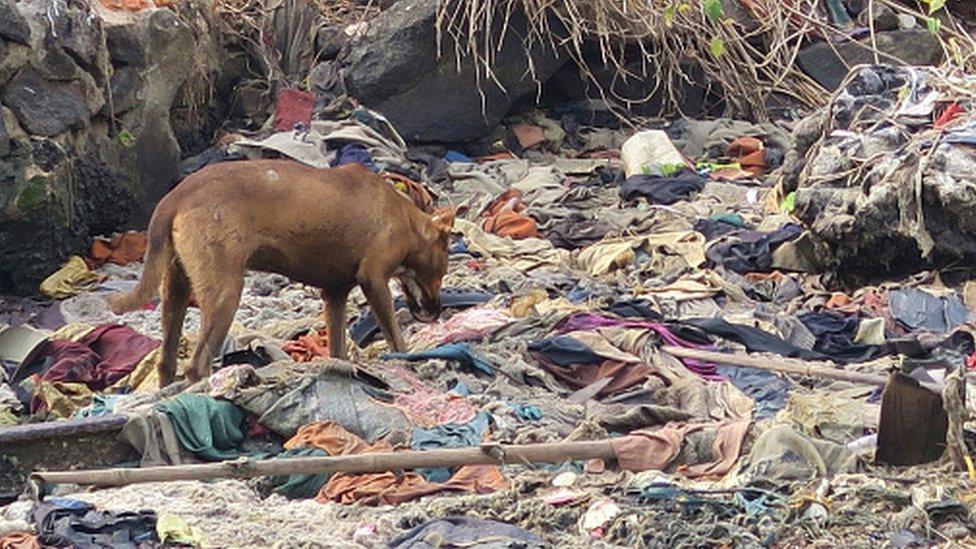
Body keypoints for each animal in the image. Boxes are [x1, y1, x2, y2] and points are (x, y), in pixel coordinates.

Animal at [109, 158, 454, 386]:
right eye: (443, 267)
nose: (438, 311)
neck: (406, 219)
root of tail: (174, 197)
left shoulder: (335, 293)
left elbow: (338, 348)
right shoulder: (373, 278)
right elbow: (395, 336)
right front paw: (405, 359)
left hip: (176, 288)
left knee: (166, 362)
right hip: (225, 292)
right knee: (197, 365)